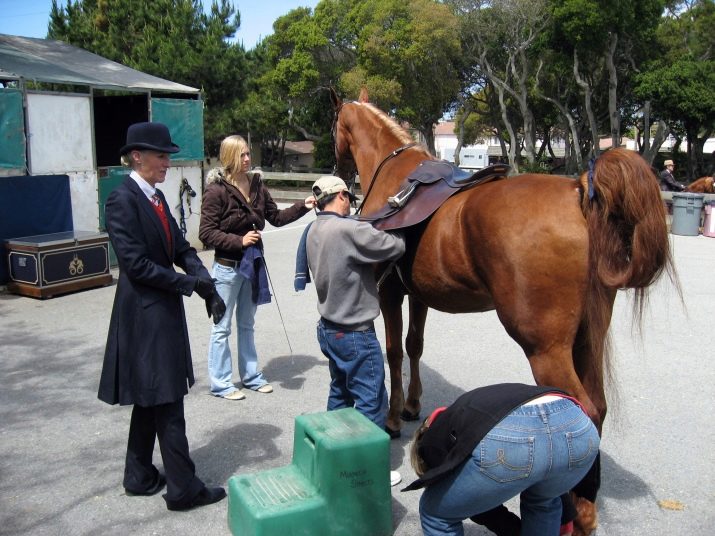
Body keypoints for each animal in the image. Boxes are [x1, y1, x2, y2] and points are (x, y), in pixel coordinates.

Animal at [332, 91, 676, 532]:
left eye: (334, 125)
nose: (338, 166)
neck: (395, 176)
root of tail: (578, 190)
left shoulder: (391, 292)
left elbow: (393, 352)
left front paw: (393, 419)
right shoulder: (419, 294)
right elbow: (414, 345)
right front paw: (411, 405)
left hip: (545, 348)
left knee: (581, 405)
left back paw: (576, 508)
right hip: (588, 339)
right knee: (598, 406)